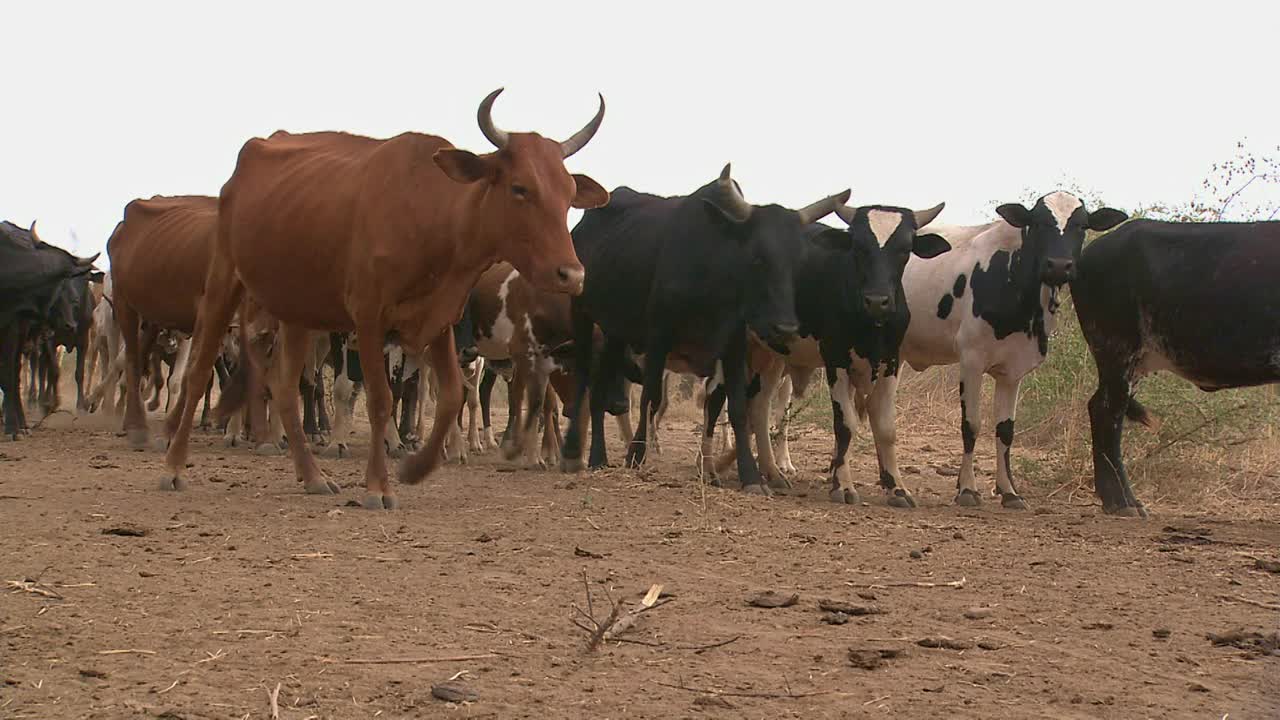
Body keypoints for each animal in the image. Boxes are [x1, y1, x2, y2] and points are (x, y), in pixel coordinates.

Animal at [160, 88, 609, 509]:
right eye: (520, 188)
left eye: (568, 193)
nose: (572, 274)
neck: (432, 214)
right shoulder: (368, 319)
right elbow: (380, 400)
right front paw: (378, 486)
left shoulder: (439, 321)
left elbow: (450, 397)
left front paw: (415, 467)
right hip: (224, 280)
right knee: (199, 374)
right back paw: (173, 468)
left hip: (298, 311)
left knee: (284, 388)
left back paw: (312, 477)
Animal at [563, 163, 849, 489]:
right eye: (757, 257)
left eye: (799, 262)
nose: (786, 328)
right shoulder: (658, 337)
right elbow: (651, 398)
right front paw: (636, 455)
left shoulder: (733, 345)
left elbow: (737, 409)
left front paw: (751, 475)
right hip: (582, 315)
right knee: (584, 382)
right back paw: (580, 453)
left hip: (615, 331)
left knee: (599, 392)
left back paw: (598, 455)